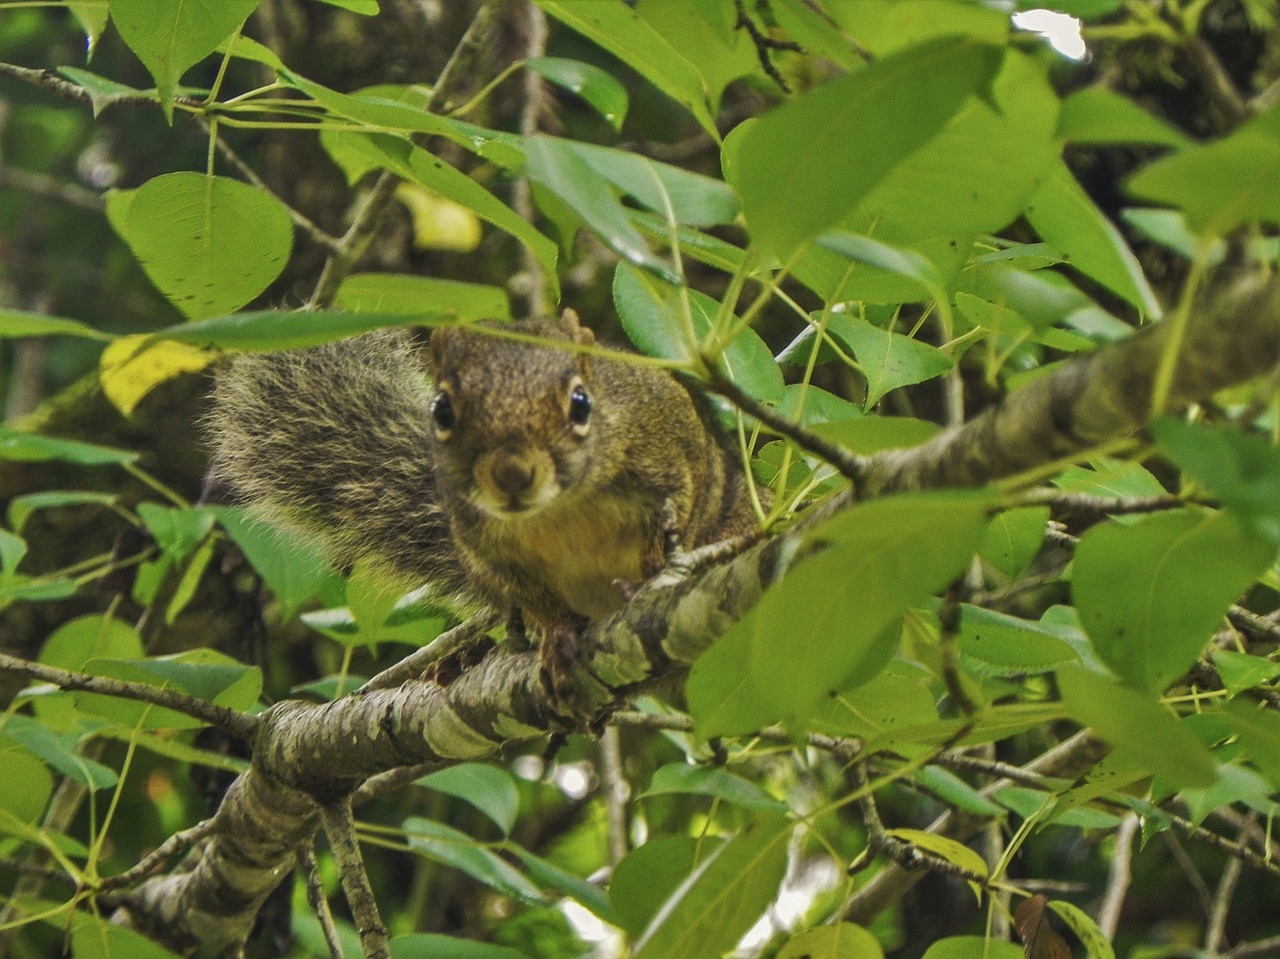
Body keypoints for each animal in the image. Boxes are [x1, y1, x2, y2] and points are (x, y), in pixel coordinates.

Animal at [207, 311, 757, 701]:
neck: (558, 510)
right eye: (442, 410)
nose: (512, 474)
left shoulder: (669, 445)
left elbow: (687, 498)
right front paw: (556, 638)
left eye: (582, 403)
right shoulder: (488, 550)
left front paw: (653, 568)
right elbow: (534, 598)